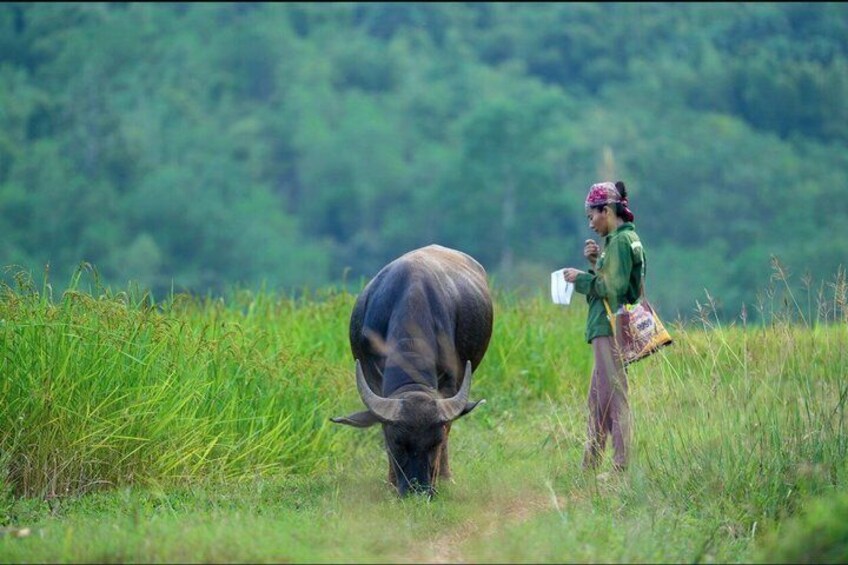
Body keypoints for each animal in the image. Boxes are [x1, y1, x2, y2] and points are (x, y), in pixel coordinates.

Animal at [331, 244, 494, 497]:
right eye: (396, 442)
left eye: (436, 442)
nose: (418, 490)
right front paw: (390, 482)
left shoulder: (450, 382)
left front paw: (444, 478)